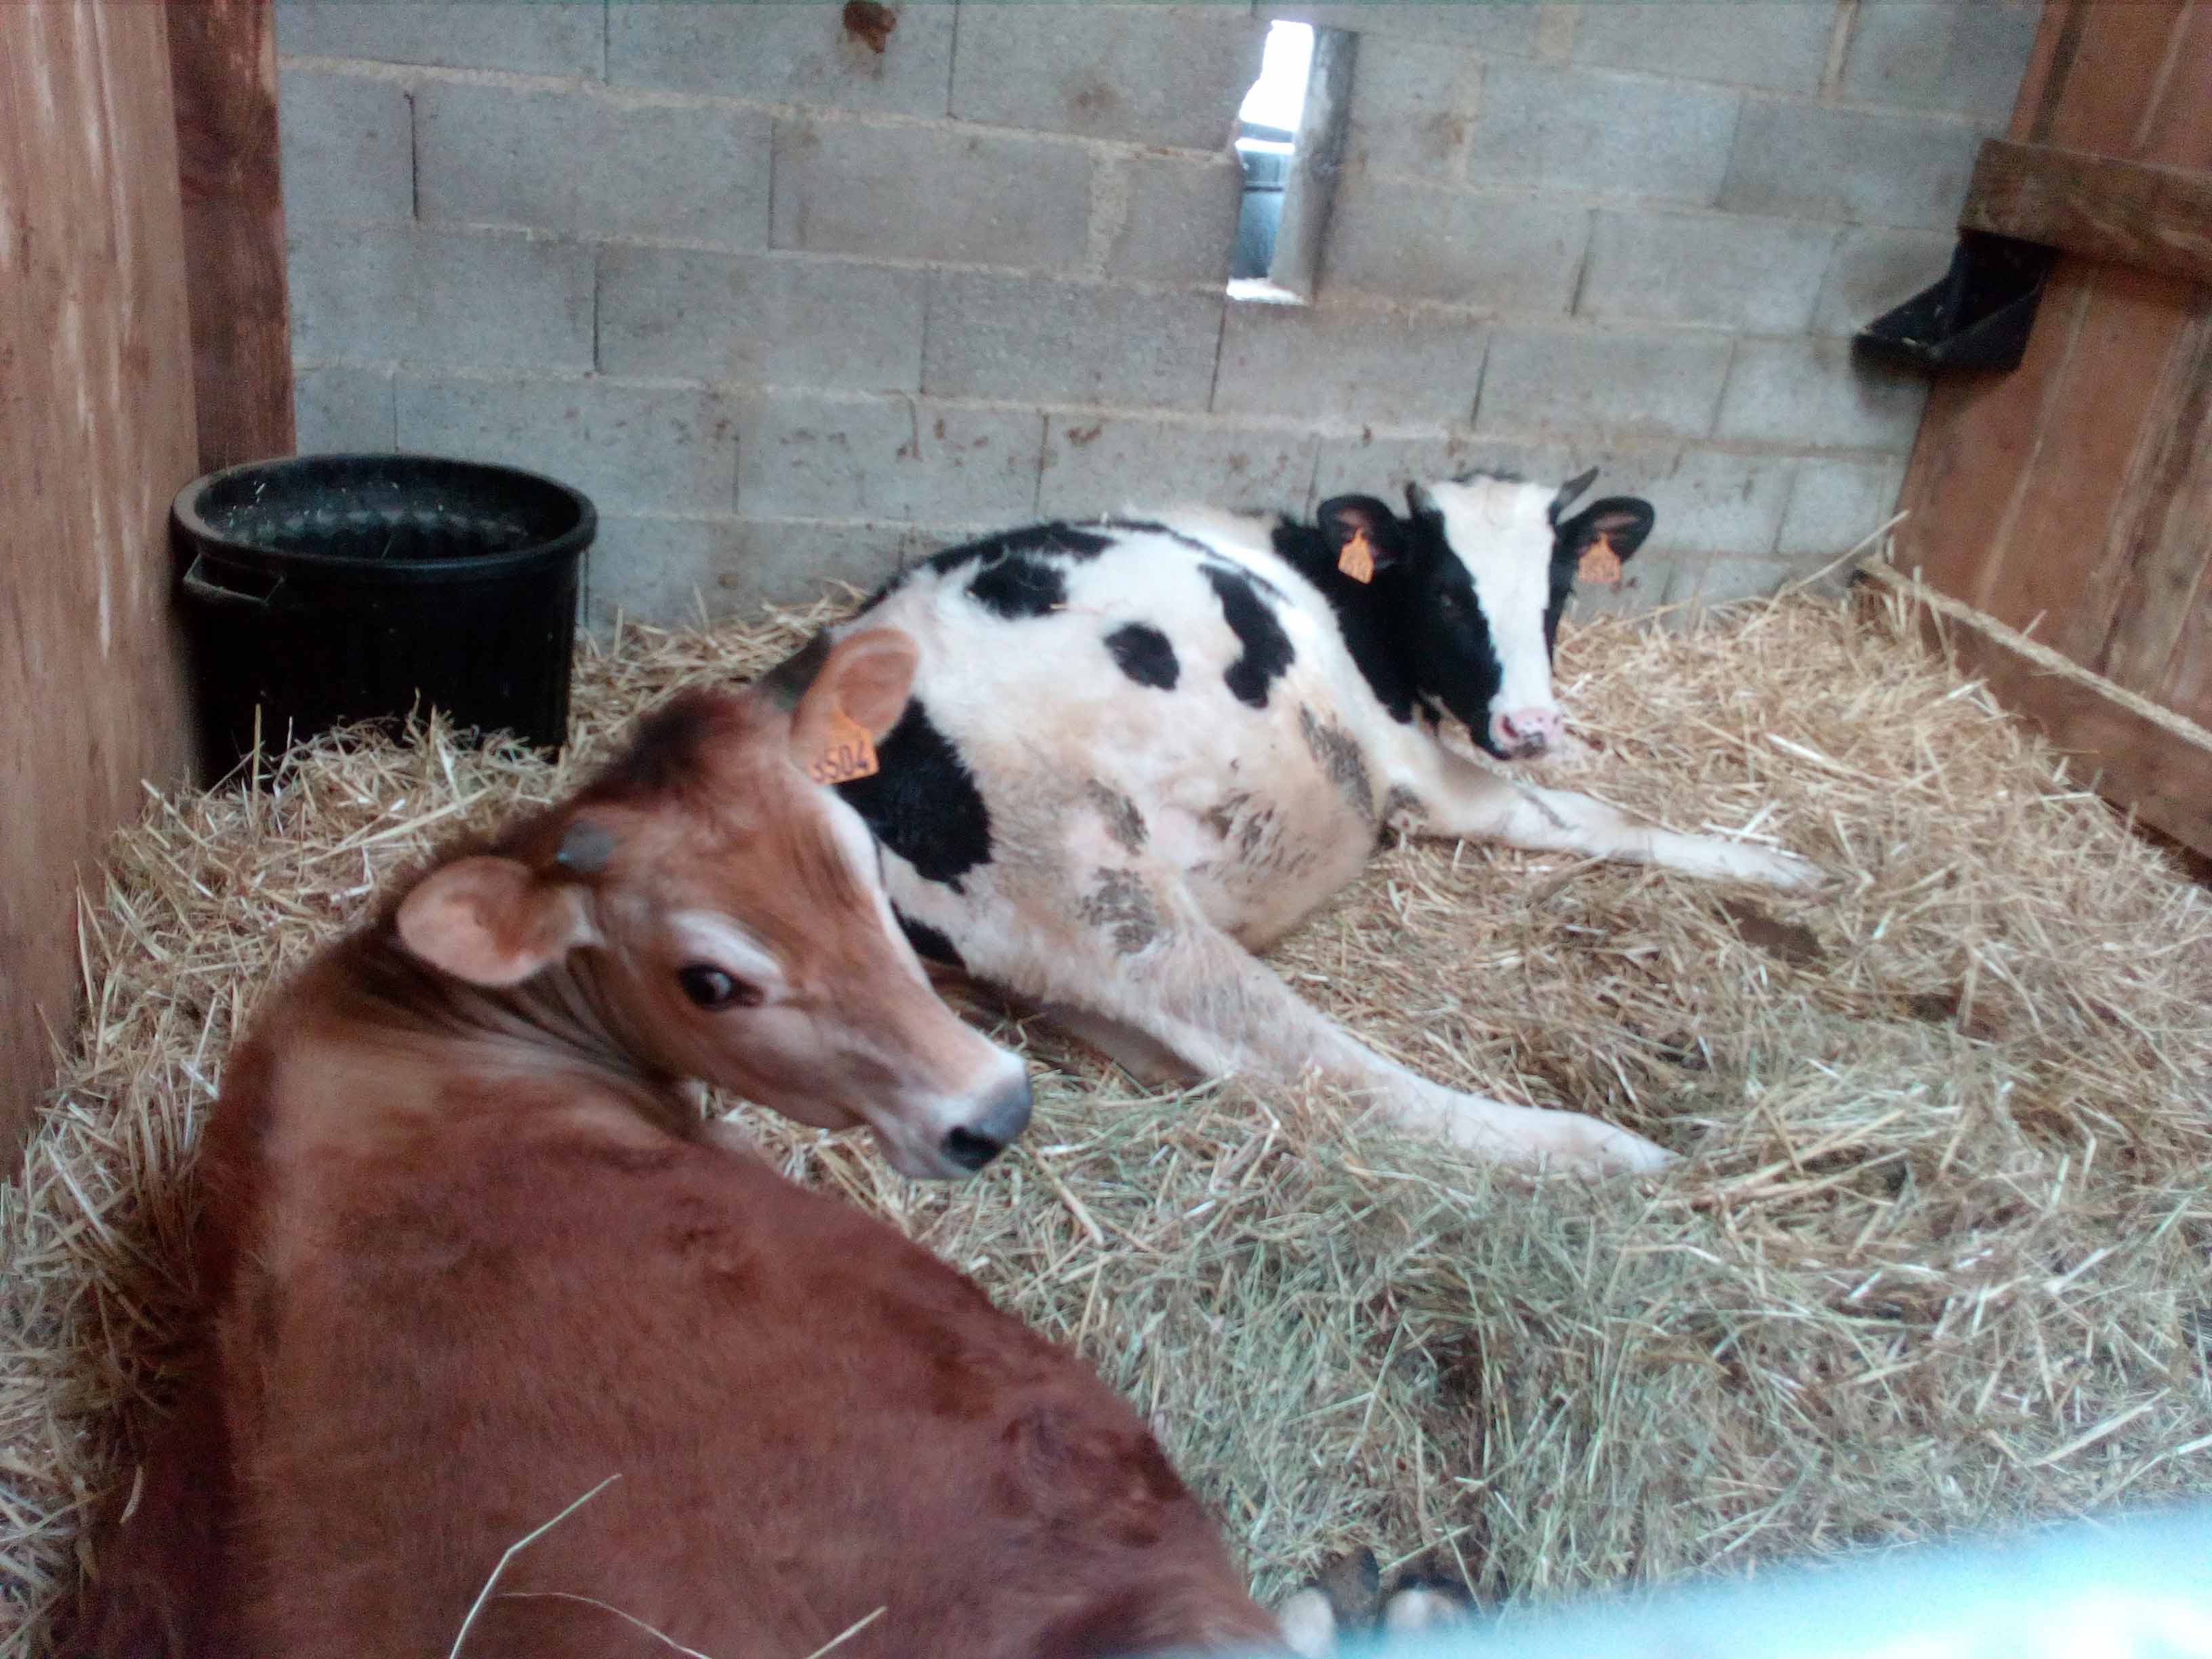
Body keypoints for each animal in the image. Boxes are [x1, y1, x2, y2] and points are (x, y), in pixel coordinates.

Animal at [825, 471, 1826, 1178]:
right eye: (1447, 594)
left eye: (1558, 595)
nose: (1530, 725)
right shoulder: (1414, 764)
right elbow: (1578, 816)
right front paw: (1771, 863)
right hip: (1095, 880)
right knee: (1320, 1062)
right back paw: (1601, 1150)